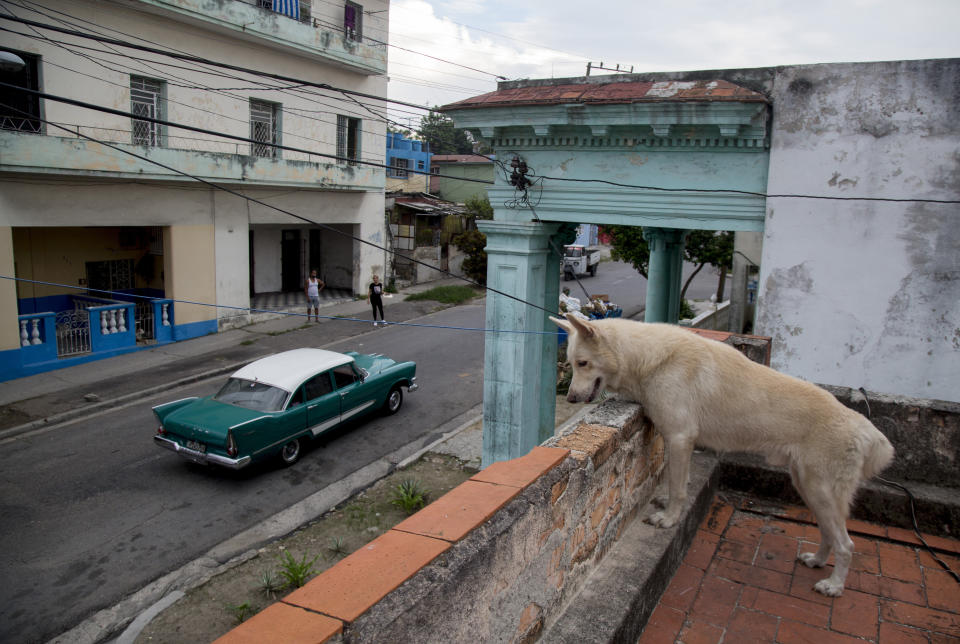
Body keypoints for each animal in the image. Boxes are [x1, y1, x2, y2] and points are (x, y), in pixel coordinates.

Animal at [552, 314, 896, 596]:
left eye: (582, 363)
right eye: (571, 364)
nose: (570, 398)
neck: (650, 359)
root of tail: (866, 429)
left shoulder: (680, 438)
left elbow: (678, 488)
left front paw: (669, 519)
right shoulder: (677, 441)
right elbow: (675, 482)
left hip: (819, 491)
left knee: (847, 544)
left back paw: (834, 585)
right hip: (809, 488)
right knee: (828, 533)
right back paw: (817, 561)